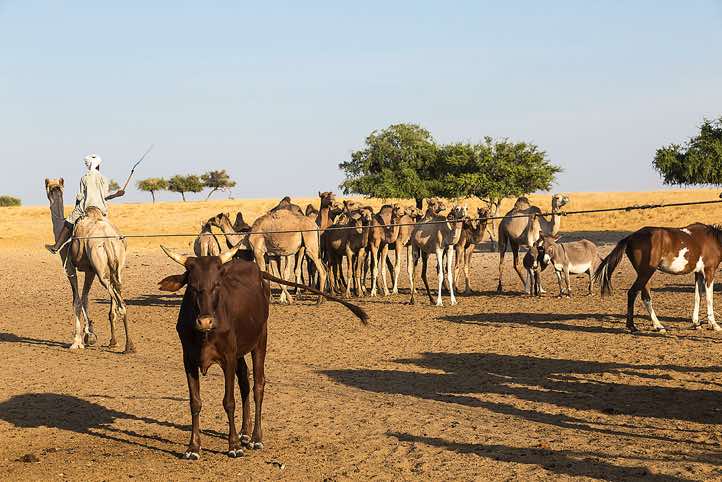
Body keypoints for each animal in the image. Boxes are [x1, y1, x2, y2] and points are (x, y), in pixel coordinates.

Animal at [45, 178, 135, 353]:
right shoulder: (89, 270)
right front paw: (89, 335)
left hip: (101, 270)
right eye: (50, 188)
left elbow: (77, 300)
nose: (53, 188)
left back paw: (128, 345)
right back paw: (118, 342)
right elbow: (85, 298)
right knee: (118, 293)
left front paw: (77, 341)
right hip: (115, 267)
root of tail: (107, 239)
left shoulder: (70, 268)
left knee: (119, 302)